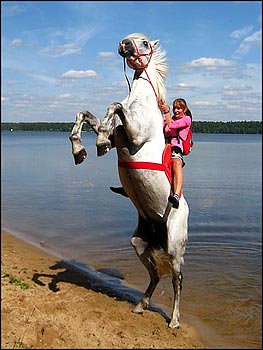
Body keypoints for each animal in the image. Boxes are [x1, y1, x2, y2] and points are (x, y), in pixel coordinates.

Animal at [69, 32, 190, 328]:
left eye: (145, 42)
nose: (123, 44)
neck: (141, 102)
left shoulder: (134, 134)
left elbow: (114, 105)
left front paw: (98, 142)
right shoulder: (120, 138)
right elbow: (86, 114)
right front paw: (81, 150)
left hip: (175, 249)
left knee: (177, 281)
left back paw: (174, 320)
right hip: (139, 244)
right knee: (155, 275)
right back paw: (140, 306)